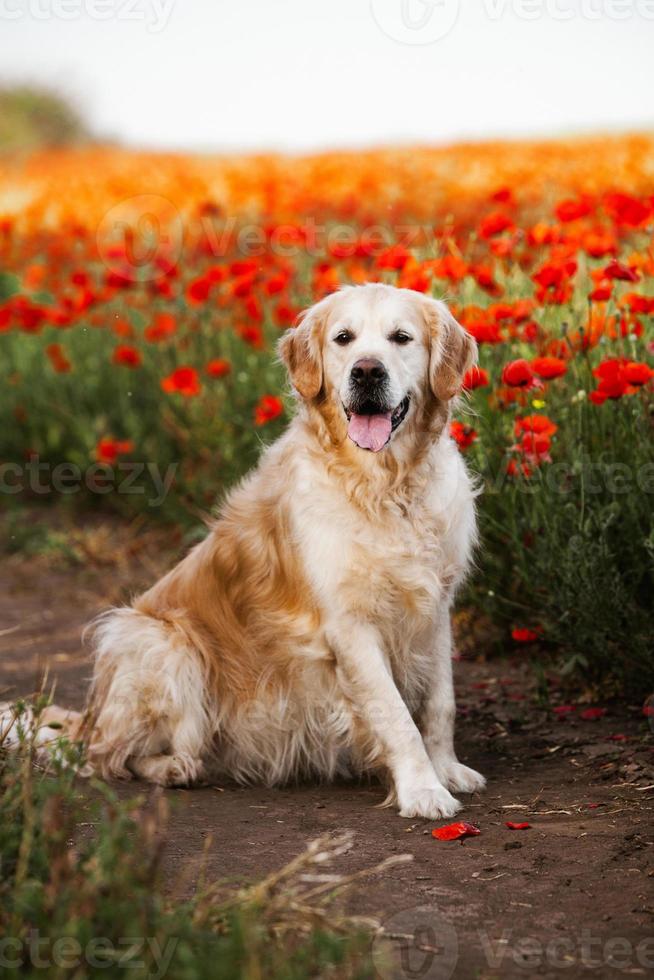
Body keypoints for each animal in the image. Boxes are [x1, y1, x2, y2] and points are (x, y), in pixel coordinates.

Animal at [2, 284, 486, 820]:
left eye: (401, 337)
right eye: (344, 338)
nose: (366, 371)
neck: (387, 487)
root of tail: (90, 717)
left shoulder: (435, 607)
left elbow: (440, 702)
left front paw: (446, 770)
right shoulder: (350, 625)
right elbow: (395, 712)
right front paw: (422, 789)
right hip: (159, 642)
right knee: (109, 755)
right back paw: (173, 767)